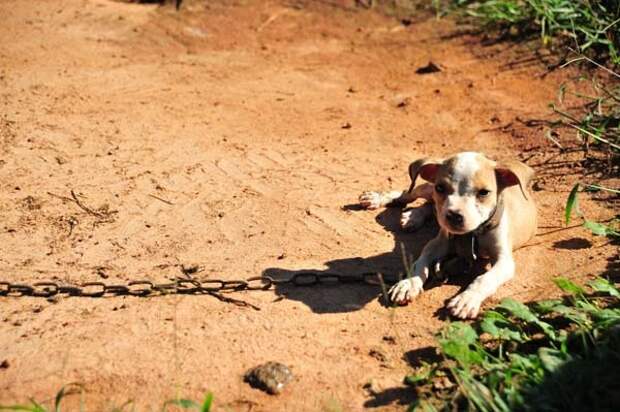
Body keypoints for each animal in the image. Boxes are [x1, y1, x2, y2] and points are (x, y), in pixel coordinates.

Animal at [360, 151, 536, 318]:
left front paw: (467, 299)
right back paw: (379, 199)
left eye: (484, 192)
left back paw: (413, 216)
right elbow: (419, 263)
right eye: (441, 188)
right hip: (426, 188)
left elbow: (485, 279)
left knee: (429, 206)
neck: (471, 235)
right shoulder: (437, 244)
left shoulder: (504, 261)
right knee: (408, 194)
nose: (454, 215)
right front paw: (409, 284)